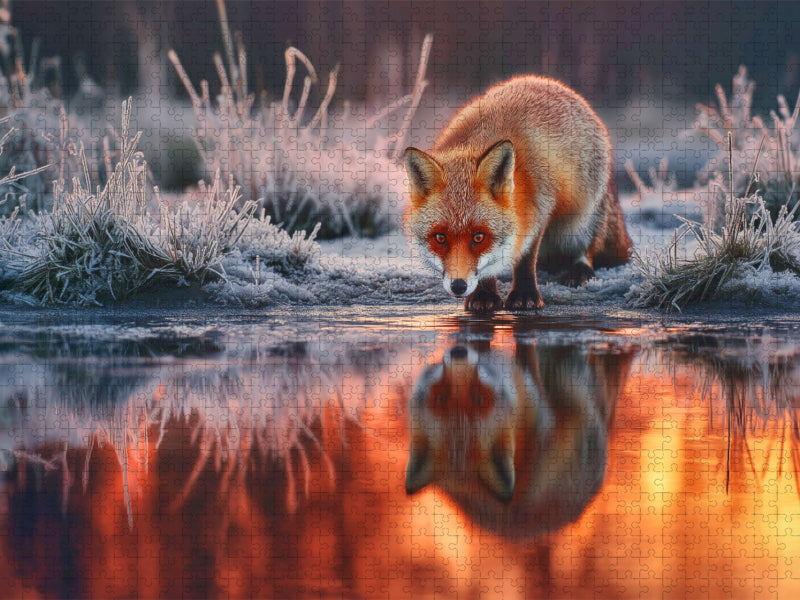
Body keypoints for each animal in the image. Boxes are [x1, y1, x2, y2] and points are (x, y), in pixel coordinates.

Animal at [403, 75, 632, 312]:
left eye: (478, 237)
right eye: (440, 238)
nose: (458, 286)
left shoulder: (540, 206)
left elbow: (526, 258)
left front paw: (524, 295)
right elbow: (490, 265)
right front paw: (484, 295)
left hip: (580, 217)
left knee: (587, 248)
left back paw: (579, 271)